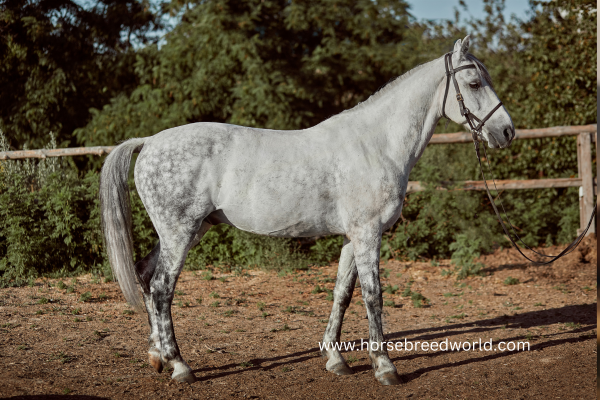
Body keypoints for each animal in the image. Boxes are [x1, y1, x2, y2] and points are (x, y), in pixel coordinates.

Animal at [101, 36, 512, 384]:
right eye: (474, 82)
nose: (506, 132)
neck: (375, 145)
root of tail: (149, 141)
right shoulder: (368, 234)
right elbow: (373, 295)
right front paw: (385, 366)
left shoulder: (353, 236)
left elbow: (343, 293)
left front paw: (336, 359)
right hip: (179, 232)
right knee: (161, 289)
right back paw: (180, 366)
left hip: (189, 230)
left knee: (146, 276)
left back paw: (157, 357)